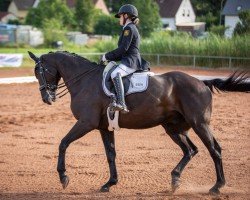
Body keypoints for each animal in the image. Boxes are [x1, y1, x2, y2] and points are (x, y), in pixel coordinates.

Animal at [28, 50, 249, 195]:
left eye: (40, 71)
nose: (47, 98)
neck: (84, 81)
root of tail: (201, 82)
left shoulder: (86, 123)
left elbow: (63, 143)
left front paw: (63, 177)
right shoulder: (103, 127)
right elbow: (110, 154)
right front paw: (109, 183)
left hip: (199, 124)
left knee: (214, 150)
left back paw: (216, 187)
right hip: (174, 128)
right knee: (190, 150)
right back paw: (175, 180)